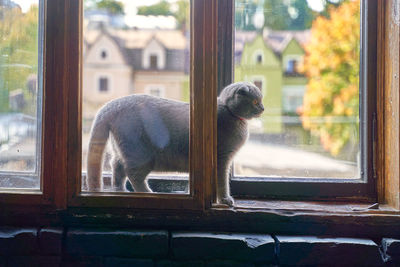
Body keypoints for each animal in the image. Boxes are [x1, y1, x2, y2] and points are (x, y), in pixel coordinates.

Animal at [86, 81, 262, 207]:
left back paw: (120, 190)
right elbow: (222, 182)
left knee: (117, 167)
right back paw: (147, 193)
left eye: (260, 101)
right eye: (255, 101)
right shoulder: (222, 159)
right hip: (141, 155)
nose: (263, 108)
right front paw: (225, 200)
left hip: (121, 150)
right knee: (133, 174)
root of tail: (112, 104)